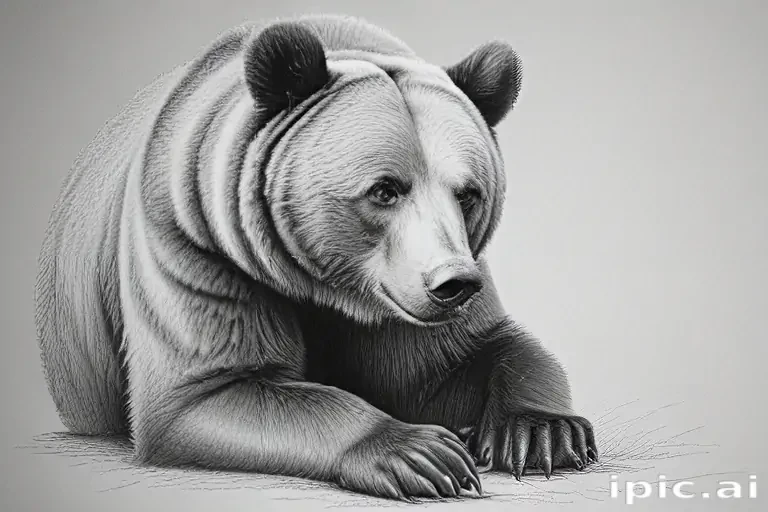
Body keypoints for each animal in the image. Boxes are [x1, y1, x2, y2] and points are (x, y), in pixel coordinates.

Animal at [34, 14, 598, 500]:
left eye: (467, 194)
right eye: (385, 190)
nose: (452, 283)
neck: (328, 284)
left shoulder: (406, 301)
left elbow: (466, 358)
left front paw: (543, 433)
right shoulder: (194, 243)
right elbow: (210, 391)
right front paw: (420, 453)